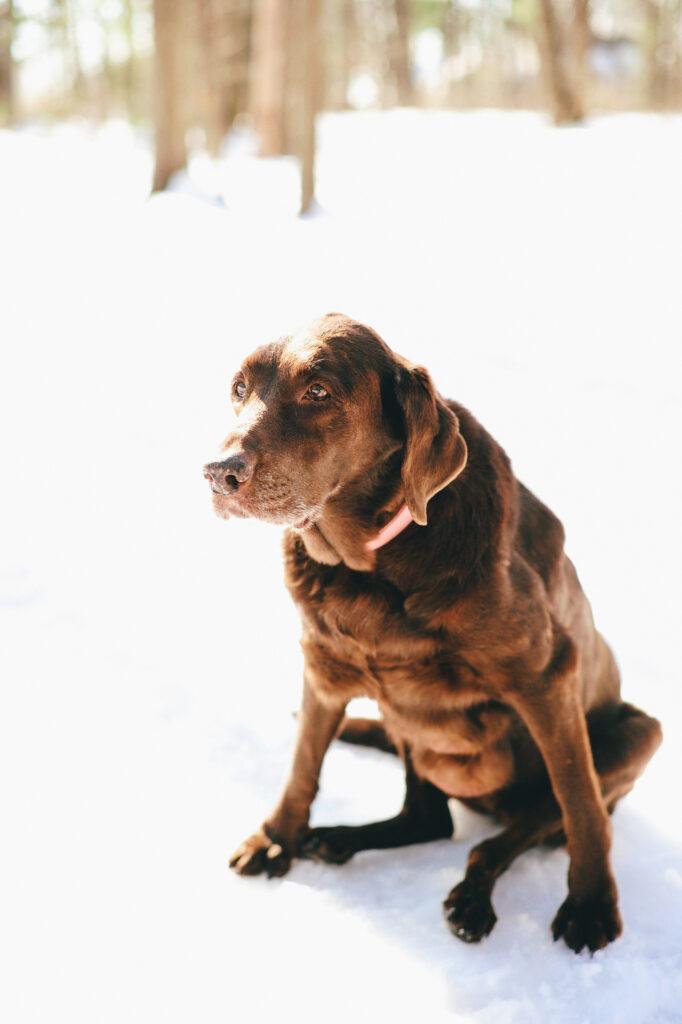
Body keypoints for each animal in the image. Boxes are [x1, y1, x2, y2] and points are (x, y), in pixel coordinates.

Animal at [201, 309, 659, 950]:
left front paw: (591, 906)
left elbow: (579, 803)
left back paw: (472, 896)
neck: (367, 565)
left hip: (638, 734)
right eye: (239, 389)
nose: (218, 473)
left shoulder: (548, 680)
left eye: (317, 391)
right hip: (408, 727)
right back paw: (340, 839)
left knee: (524, 826)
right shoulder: (323, 669)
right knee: (430, 819)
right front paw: (277, 839)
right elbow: (302, 764)